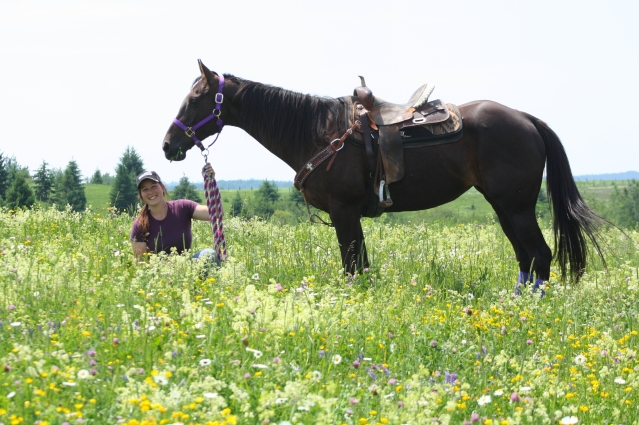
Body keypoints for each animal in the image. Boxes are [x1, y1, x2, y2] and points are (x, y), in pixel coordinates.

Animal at [161, 61, 604, 286]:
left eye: (197, 98)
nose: (168, 145)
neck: (319, 132)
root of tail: (527, 119)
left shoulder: (343, 211)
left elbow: (350, 265)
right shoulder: (351, 214)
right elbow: (361, 264)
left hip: (516, 207)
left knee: (540, 255)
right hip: (504, 207)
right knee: (525, 257)